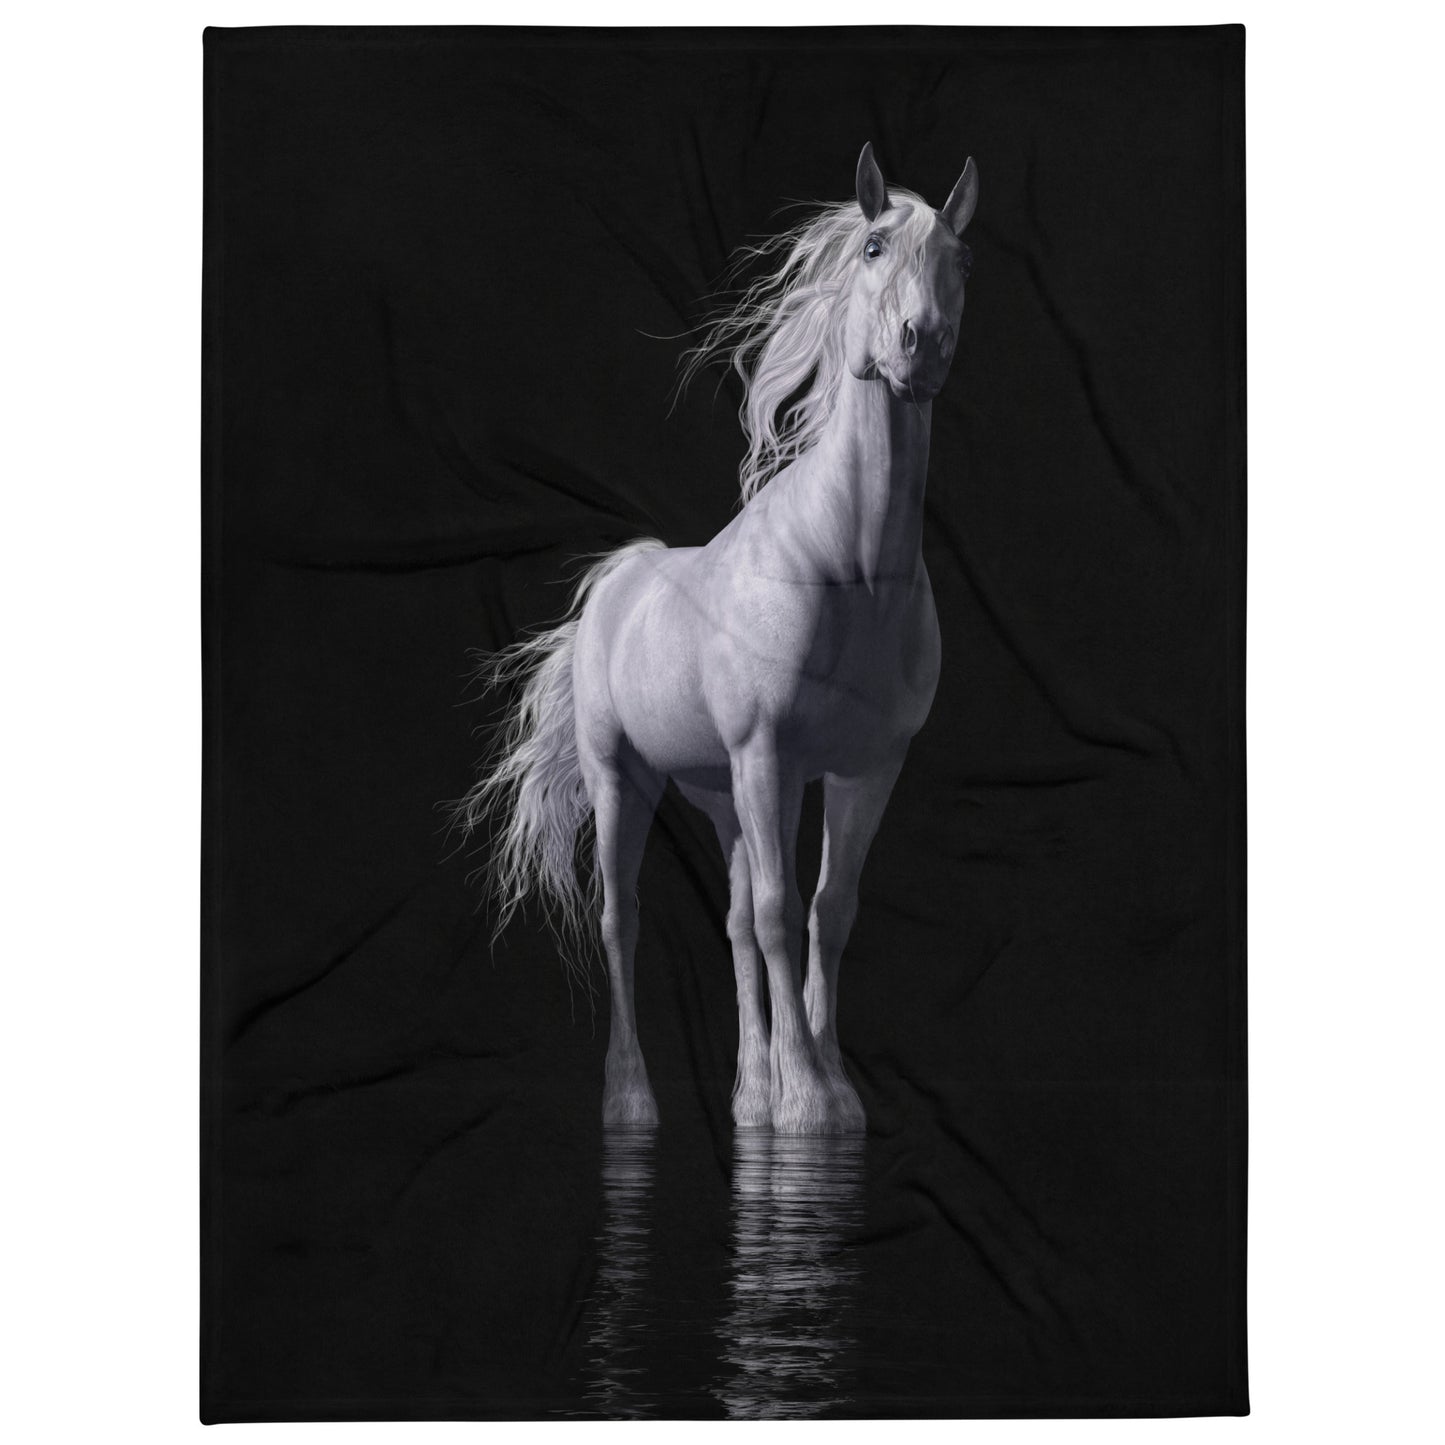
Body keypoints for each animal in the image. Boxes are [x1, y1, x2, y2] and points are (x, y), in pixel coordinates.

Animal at [456, 143, 977, 1135]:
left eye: (958, 261)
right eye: (874, 247)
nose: (919, 347)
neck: (852, 573)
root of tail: (616, 583)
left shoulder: (863, 768)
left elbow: (827, 911)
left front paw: (819, 1089)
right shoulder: (768, 754)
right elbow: (778, 910)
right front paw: (807, 1098)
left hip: (720, 794)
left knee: (731, 922)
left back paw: (749, 1095)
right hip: (627, 779)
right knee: (621, 919)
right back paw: (631, 1100)